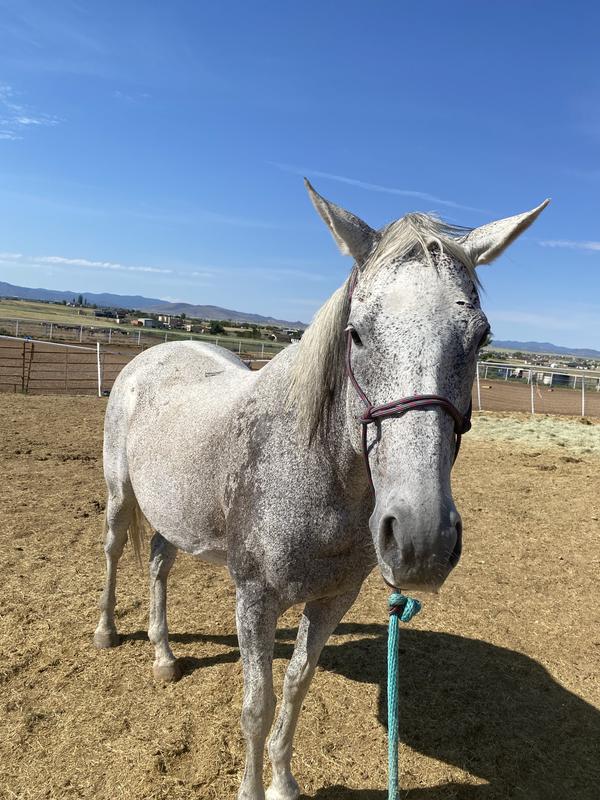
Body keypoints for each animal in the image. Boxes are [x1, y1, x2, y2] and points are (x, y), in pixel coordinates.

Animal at [94, 181, 548, 800]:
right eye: (356, 333)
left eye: (482, 338)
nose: (422, 540)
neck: (316, 477)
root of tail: (156, 353)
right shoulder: (255, 598)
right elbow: (256, 705)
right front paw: (251, 789)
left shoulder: (334, 599)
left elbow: (296, 685)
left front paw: (283, 782)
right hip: (122, 497)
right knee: (116, 550)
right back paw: (107, 632)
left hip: (175, 513)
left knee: (160, 565)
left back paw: (164, 655)